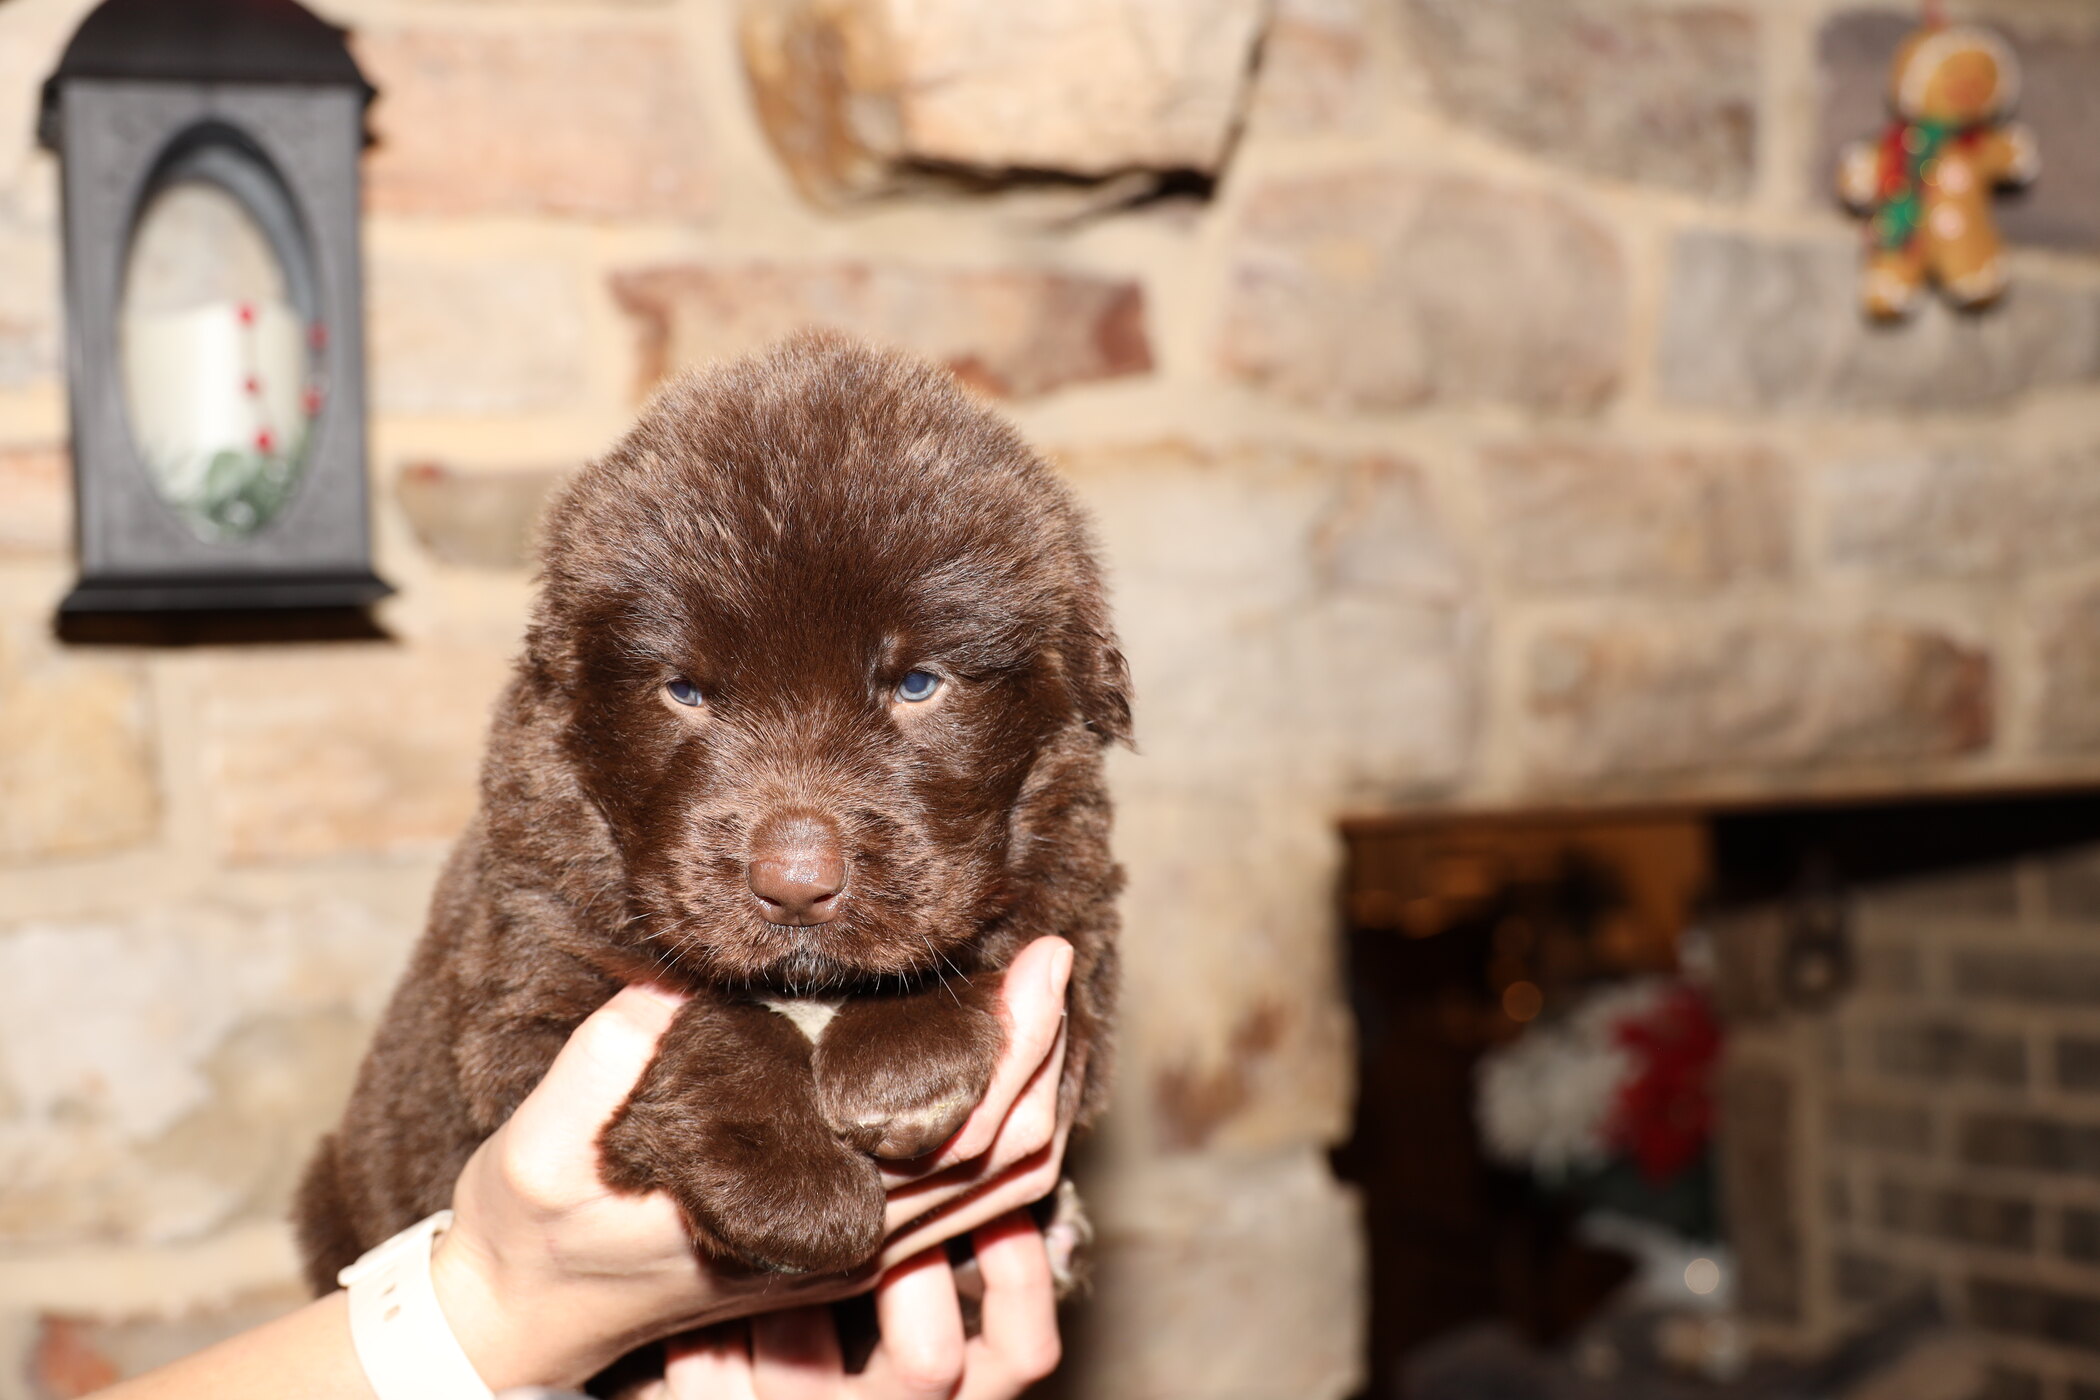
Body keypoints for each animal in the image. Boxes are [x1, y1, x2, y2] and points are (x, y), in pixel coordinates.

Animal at [295, 332, 1127, 1294]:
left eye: (919, 683)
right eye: (684, 690)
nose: (797, 884)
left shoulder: (1078, 899)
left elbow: (996, 928)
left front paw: (900, 1068)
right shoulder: (526, 971)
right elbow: (703, 1018)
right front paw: (791, 1185)